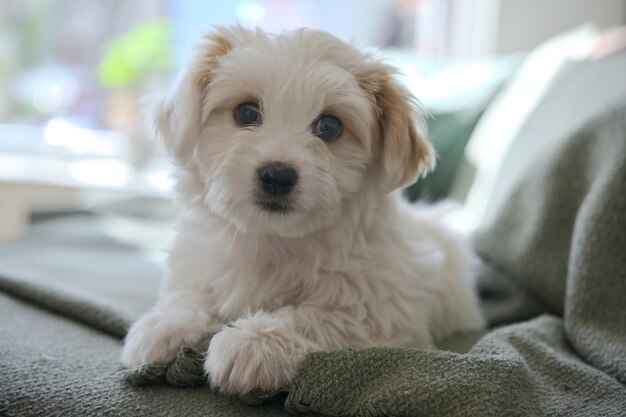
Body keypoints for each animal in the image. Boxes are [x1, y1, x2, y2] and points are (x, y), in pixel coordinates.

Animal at [120, 26, 482, 394]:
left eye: (330, 126)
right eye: (247, 112)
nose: (277, 175)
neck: (273, 238)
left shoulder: (386, 309)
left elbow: (315, 315)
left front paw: (254, 342)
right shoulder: (198, 262)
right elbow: (191, 291)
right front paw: (167, 324)